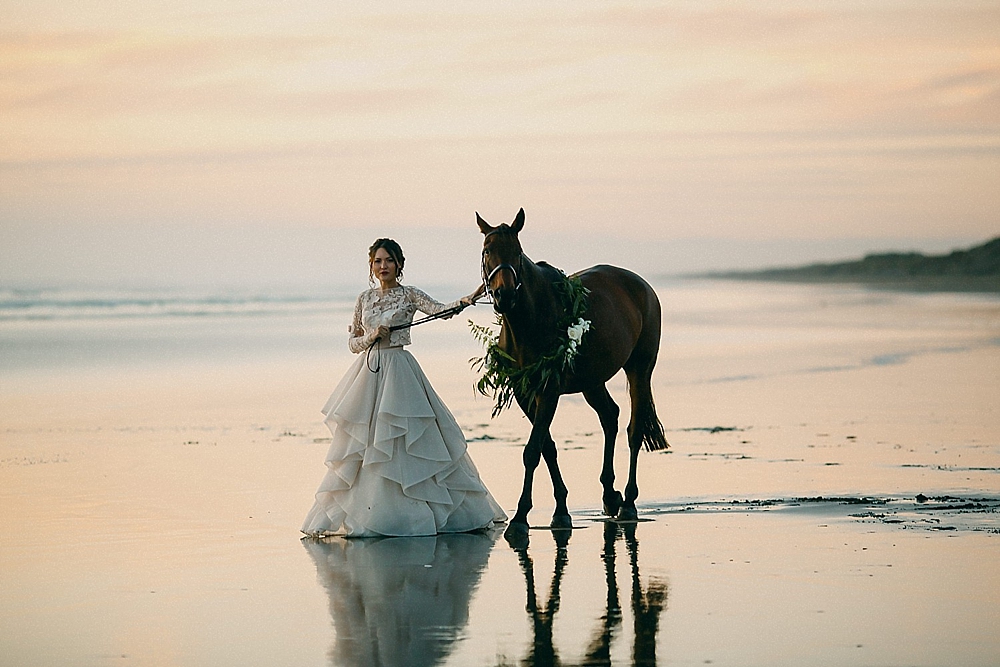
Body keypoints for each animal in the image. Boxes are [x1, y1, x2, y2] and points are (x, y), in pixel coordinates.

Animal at [474, 210, 668, 548]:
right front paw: (561, 510)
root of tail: (642, 286)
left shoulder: (547, 390)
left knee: (634, 430)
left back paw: (628, 502)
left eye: (517, 252)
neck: (529, 319)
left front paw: (520, 518)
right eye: (487, 251)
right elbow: (546, 448)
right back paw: (610, 494)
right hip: (593, 380)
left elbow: (532, 451)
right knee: (610, 416)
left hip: (640, 369)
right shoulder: (526, 393)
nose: (503, 294)